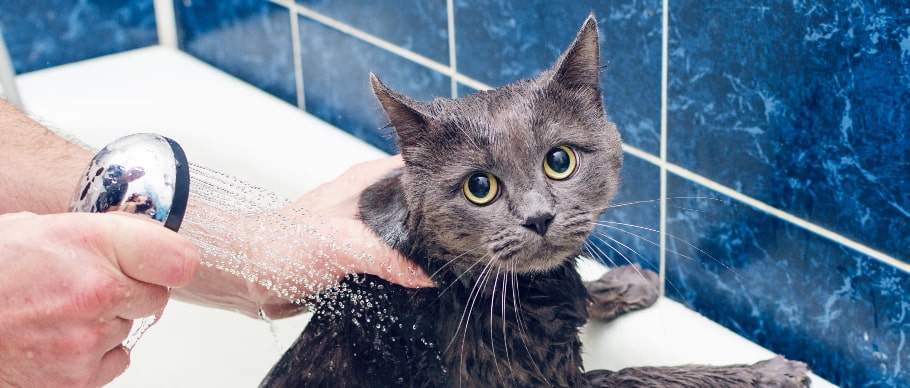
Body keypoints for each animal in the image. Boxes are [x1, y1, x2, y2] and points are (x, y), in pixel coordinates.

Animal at [260, 13, 808, 386]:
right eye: (479, 187)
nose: (539, 217)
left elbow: (579, 291)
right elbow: (646, 375)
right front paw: (767, 373)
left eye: (559, 161)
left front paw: (626, 283)